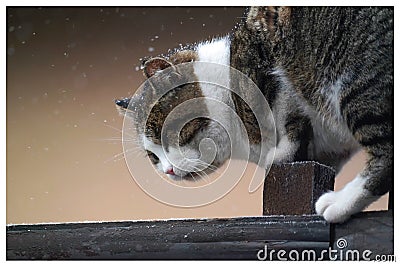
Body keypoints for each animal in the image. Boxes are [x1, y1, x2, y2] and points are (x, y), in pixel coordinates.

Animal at [116, 6, 394, 224]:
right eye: (153, 156)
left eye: (167, 134)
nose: (168, 170)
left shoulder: (270, 55)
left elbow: (288, 115)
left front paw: (281, 152)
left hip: (358, 82)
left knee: (386, 154)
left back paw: (339, 203)